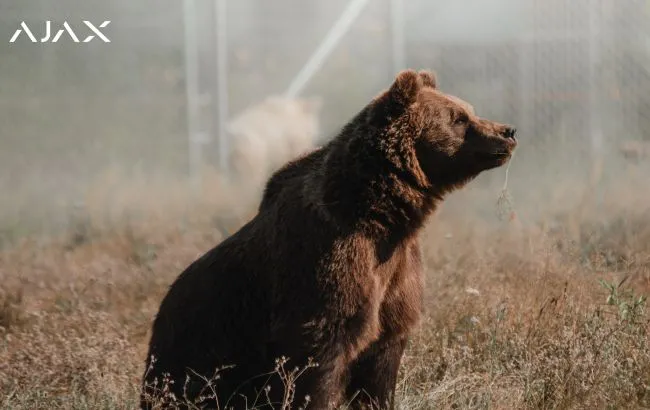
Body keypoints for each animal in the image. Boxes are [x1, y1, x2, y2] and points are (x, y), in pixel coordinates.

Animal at [141, 69, 517, 410]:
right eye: (458, 117)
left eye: (467, 109)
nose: (507, 131)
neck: (381, 215)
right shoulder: (329, 264)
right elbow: (318, 359)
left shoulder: (396, 276)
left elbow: (381, 367)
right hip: (198, 343)